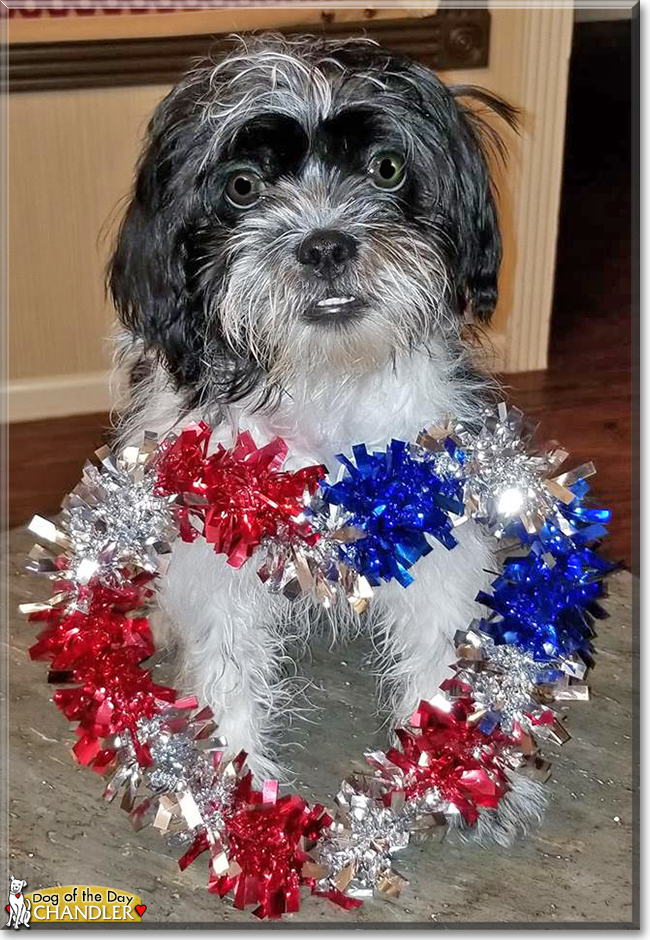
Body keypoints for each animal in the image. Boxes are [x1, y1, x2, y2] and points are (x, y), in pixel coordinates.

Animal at [110, 35, 540, 844]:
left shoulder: (436, 527)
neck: (326, 379)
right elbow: (225, 672)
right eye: (243, 187)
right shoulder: (218, 552)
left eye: (388, 168)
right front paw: (234, 802)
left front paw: (464, 776)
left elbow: (442, 648)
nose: (326, 245)